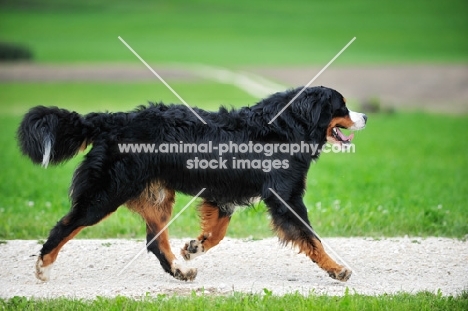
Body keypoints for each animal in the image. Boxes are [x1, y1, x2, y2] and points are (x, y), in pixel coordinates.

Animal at [18, 85, 368, 282]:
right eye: (342, 106)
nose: (365, 117)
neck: (287, 126)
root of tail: (112, 119)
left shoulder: (223, 193)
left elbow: (218, 232)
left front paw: (194, 247)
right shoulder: (286, 197)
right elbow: (312, 238)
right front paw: (337, 269)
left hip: (157, 194)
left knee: (155, 240)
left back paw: (180, 272)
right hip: (108, 191)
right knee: (67, 223)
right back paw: (43, 267)